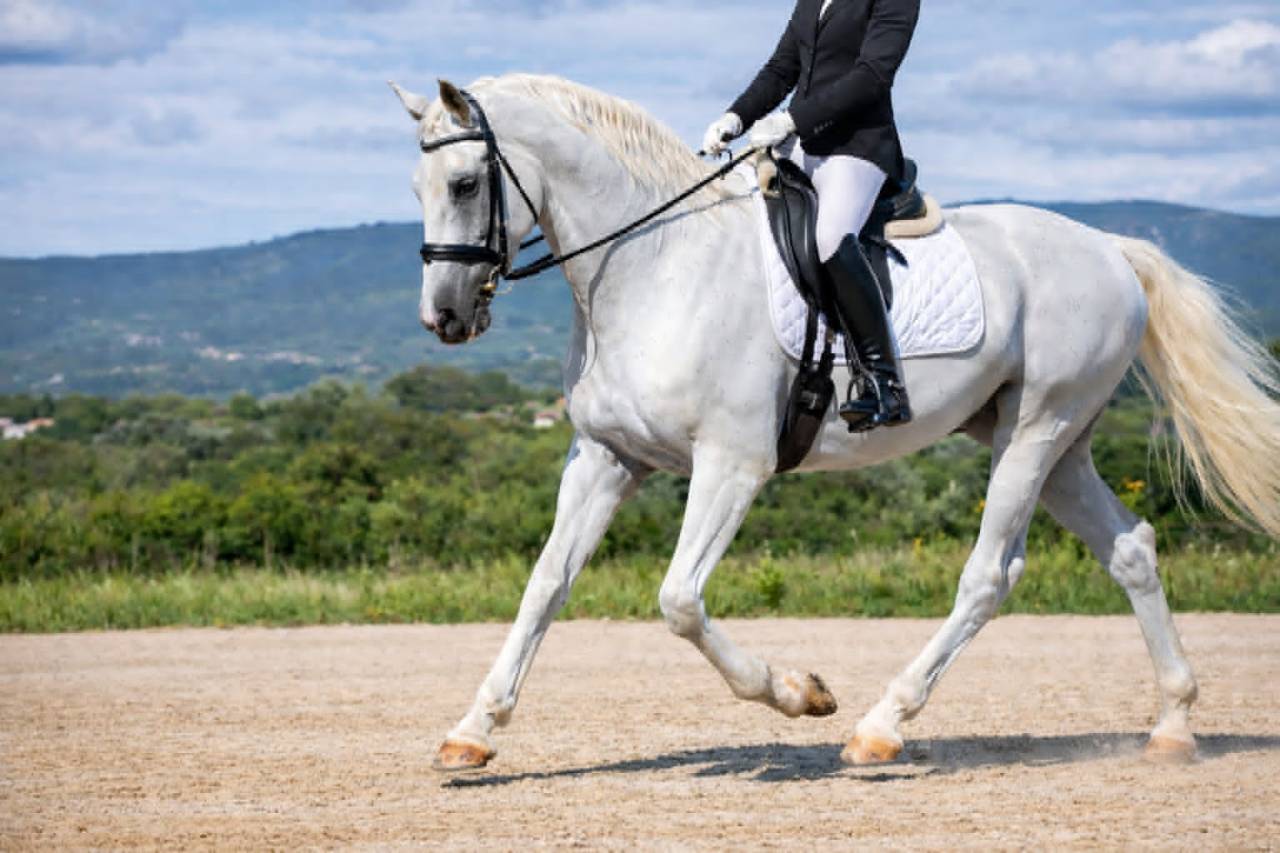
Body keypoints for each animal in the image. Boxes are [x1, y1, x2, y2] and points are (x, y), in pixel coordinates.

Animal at [389, 73, 1280, 771]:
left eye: (464, 184)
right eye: (416, 190)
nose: (444, 318)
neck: (652, 267)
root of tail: (1110, 248)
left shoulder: (733, 462)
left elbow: (679, 599)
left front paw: (799, 692)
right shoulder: (606, 457)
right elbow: (545, 584)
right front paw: (472, 730)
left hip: (1036, 429)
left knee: (989, 575)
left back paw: (881, 727)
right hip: (1053, 443)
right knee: (1130, 549)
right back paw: (1171, 727)